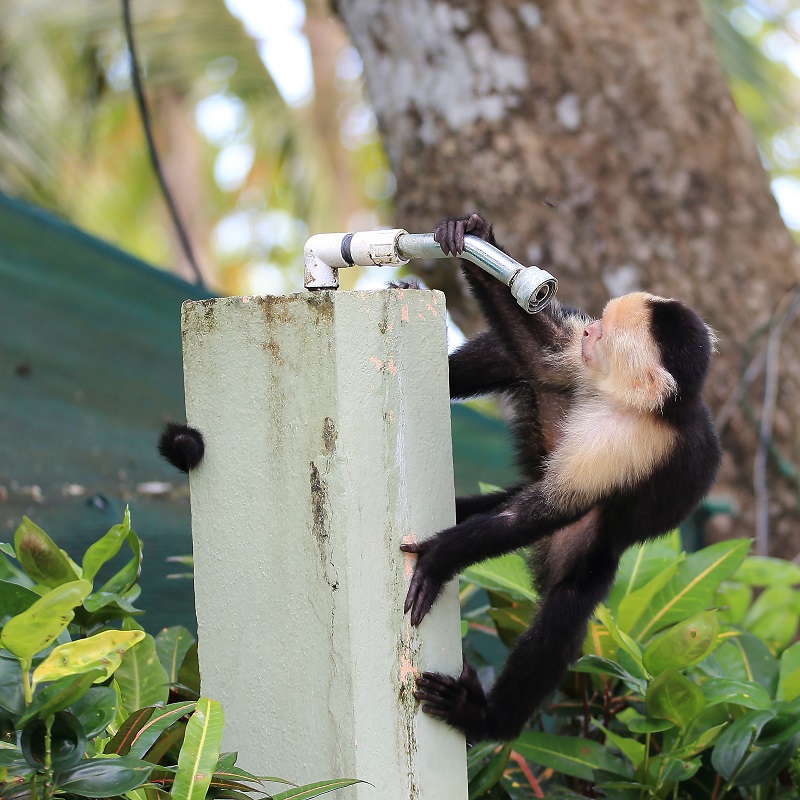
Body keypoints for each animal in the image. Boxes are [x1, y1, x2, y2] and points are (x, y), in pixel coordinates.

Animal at [404, 212, 720, 744]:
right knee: (534, 365)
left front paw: (440, 558)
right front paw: (472, 234)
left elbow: (549, 508)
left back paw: (486, 719)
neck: (649, 406)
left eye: (606, 336)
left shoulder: (630, 441)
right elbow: (542, 354)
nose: (590, 332)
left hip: (585, 550)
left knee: (565, 608)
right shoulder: (587, 369)